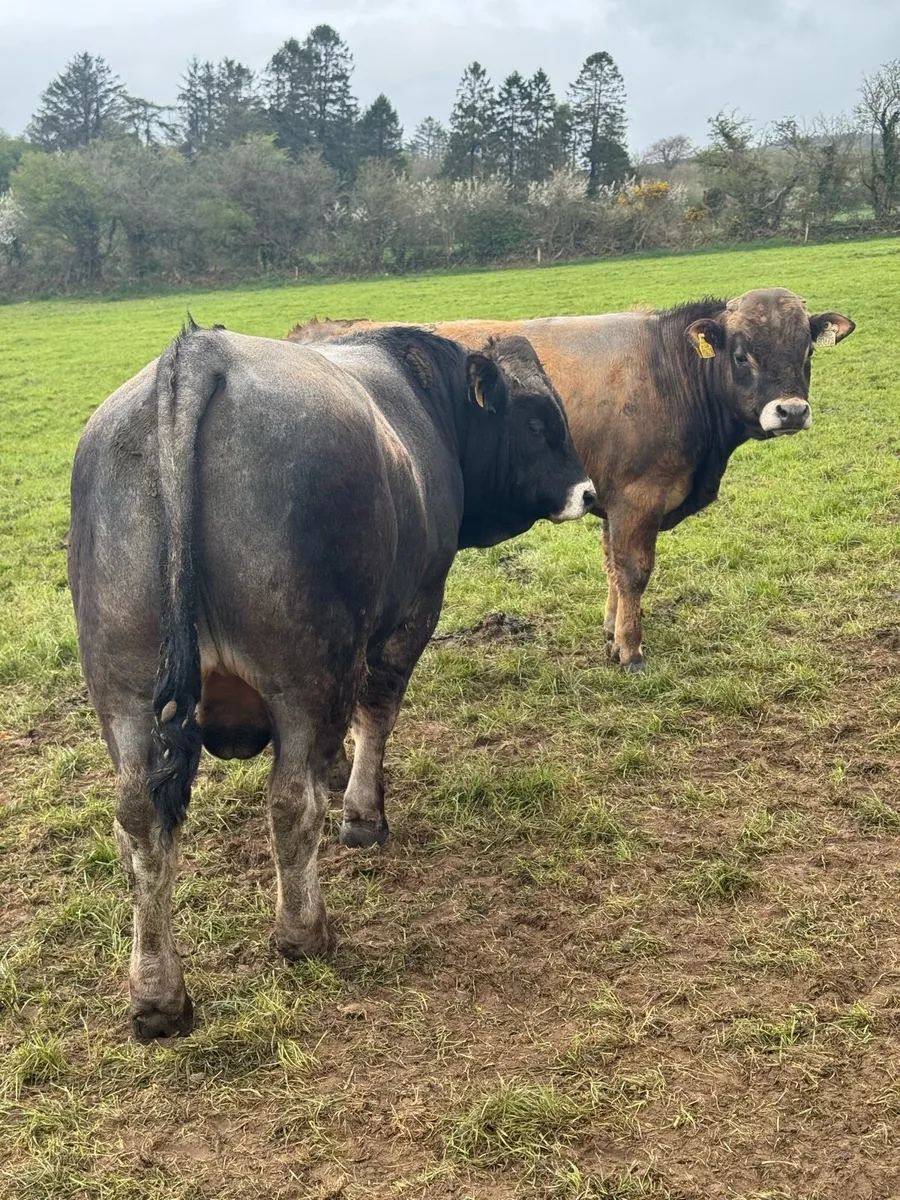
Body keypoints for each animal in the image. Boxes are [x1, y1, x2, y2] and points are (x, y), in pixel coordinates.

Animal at [68, 323, 594, 1038]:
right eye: (538, 421)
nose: (589, 492)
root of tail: (198, 354)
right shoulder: (410, 615)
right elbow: (377, 714)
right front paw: (364, 815)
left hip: (124, 698)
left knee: (141, 821)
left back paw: (158, 996)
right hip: (304, 677)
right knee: (291, 802)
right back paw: (304, 931)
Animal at [287, 289, 855, 671]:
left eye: (807, 351)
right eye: (741, 354)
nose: (790, 410)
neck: (669, 371)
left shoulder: (611, 500)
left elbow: (611, 569)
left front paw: (611, 631)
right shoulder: (637, 499)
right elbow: (633, 572)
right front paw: (630, 650)